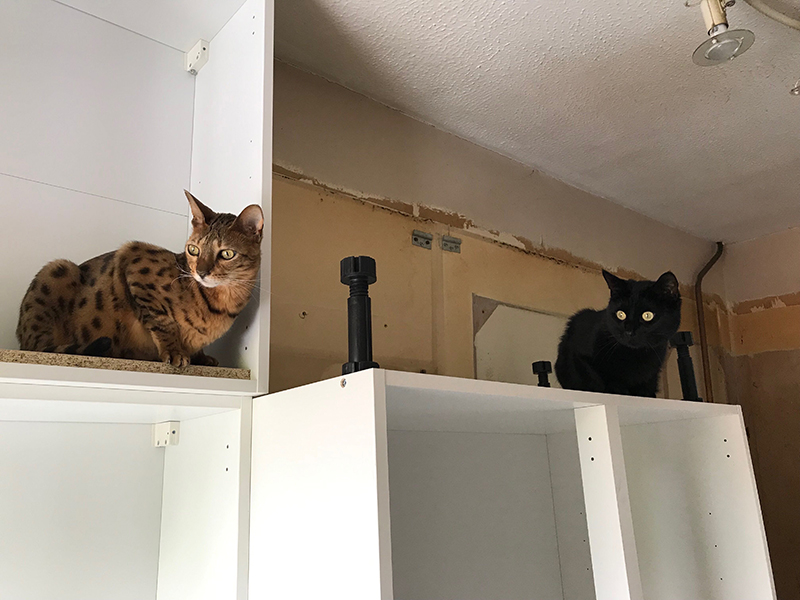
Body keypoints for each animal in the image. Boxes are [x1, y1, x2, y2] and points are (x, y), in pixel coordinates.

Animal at [17, 192, 262, 366]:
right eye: (193, 250)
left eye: (227, 254)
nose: (201, 272)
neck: (224, 304)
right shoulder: (134, 261)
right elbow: (163, 322)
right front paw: (174, 351)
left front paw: (201, 357)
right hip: (57, 269)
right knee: (40, 344)